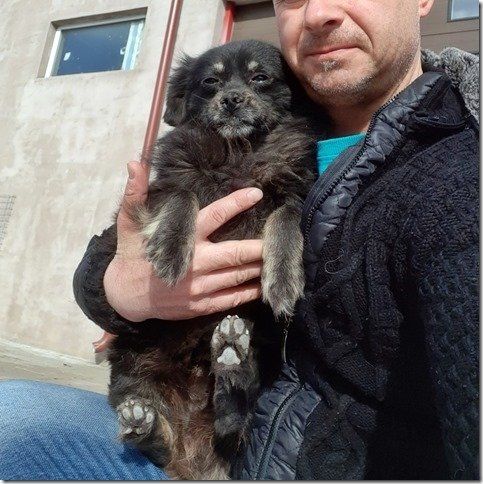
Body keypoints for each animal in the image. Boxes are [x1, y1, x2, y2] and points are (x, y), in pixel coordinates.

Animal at [106, 40, 324, 479]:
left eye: (260, 77)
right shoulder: (164, 187)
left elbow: (288, 217)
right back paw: (144, 423)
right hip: (130, 358)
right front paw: (172, 247)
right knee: (158, 437)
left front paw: (282, 277)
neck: (238, 153)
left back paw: (231, 360)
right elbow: (182, 194)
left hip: (266, 352)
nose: (232, 99)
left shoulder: (294, 192)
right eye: (211, 82)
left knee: (237, 415)